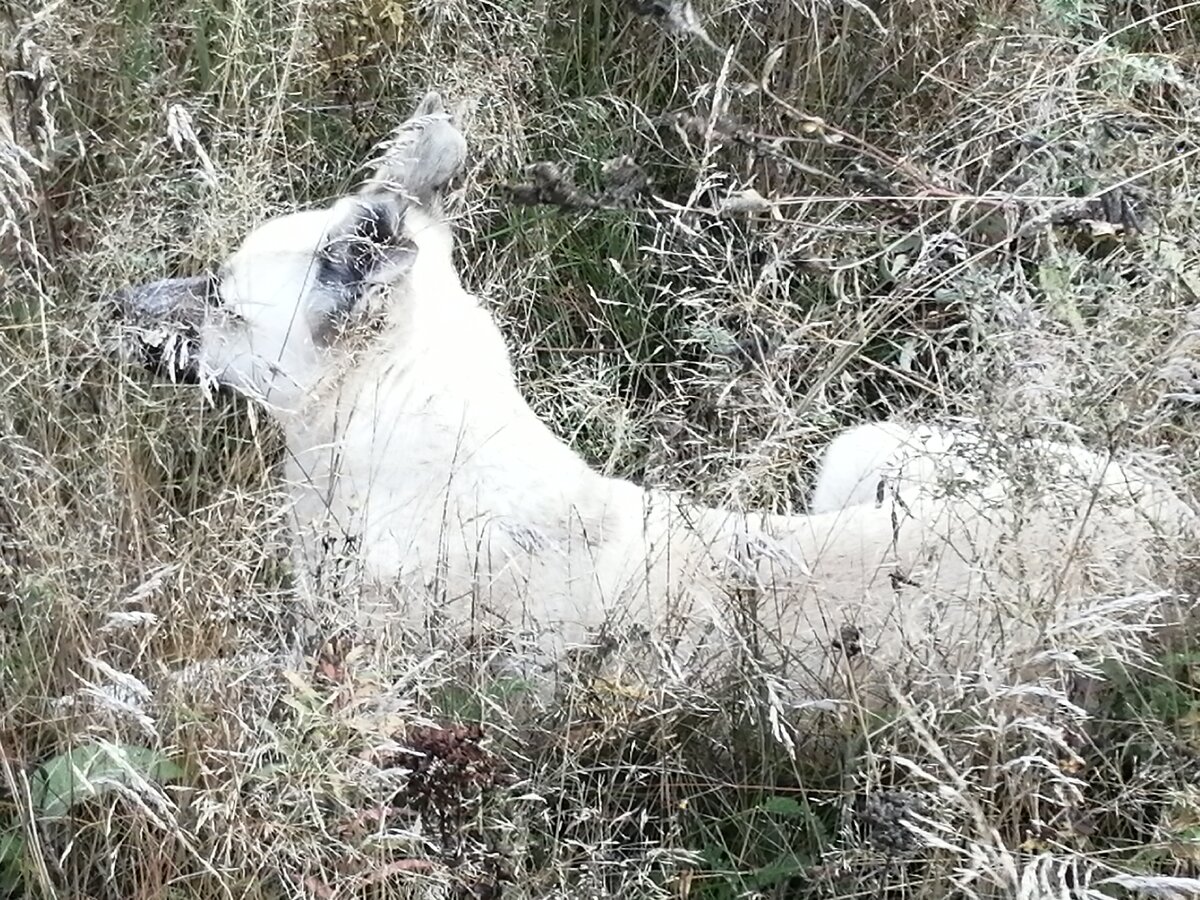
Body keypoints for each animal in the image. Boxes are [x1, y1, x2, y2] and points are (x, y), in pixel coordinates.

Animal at [117, 93, 1195, 710]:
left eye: (221, 297)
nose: (118, 303)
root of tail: (1172, 519)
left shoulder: (367, 687)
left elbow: (178, 686)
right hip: (864, 450)